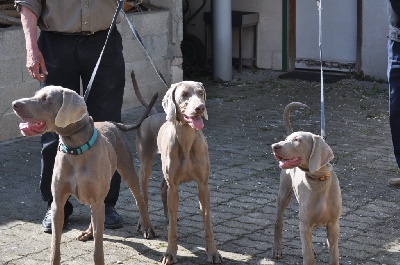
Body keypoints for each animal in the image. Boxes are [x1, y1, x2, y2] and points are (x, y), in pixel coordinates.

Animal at [12, 86, 156, 264]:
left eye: (46, 99)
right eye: (36, 94)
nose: (14, 104)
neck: (75, 149)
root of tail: (111, 123)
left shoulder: (96, 198)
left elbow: (98, 249)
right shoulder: (58, 204)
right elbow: (55, 245)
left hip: (127, 170)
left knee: (139, 199)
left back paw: (147, 227)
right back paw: (88, 232)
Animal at [155, 81, 223, 262]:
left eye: (200, 93)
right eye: (184, 94)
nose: (200, 107)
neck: (186, 139)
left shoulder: (203, 186)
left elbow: (207, 221)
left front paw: (213, 252)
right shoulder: (174, 187)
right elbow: (172, 228)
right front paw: (170, 253)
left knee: (163, 188)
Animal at [270, 101, 342, 264]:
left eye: (297, 140)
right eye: (287, 139)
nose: (274, 146)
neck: (319, 180)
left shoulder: (333, 225)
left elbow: (334, 255)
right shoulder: (304, 224)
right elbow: (308, 256)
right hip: (284, 194)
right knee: (278, 221)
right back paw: (277, 249)